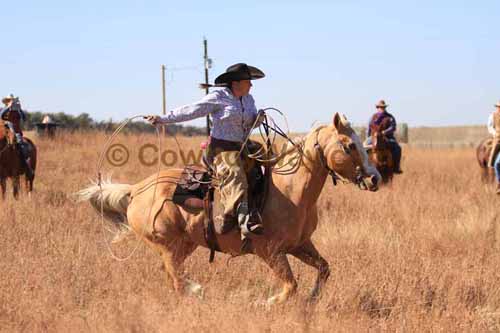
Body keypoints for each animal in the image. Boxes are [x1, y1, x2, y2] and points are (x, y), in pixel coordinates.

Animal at [77, 113, 378, 304]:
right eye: (349, 146)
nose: (375, 178)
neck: (290, 191)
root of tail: (137, 189)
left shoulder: (299, 244)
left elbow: (324, 269)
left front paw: (312, 300)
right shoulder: (270, 252)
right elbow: (290, 286)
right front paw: (265, 303)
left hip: (185, 244)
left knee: (173, 276)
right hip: (167, 244)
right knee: (176, 276)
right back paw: (198, 292)